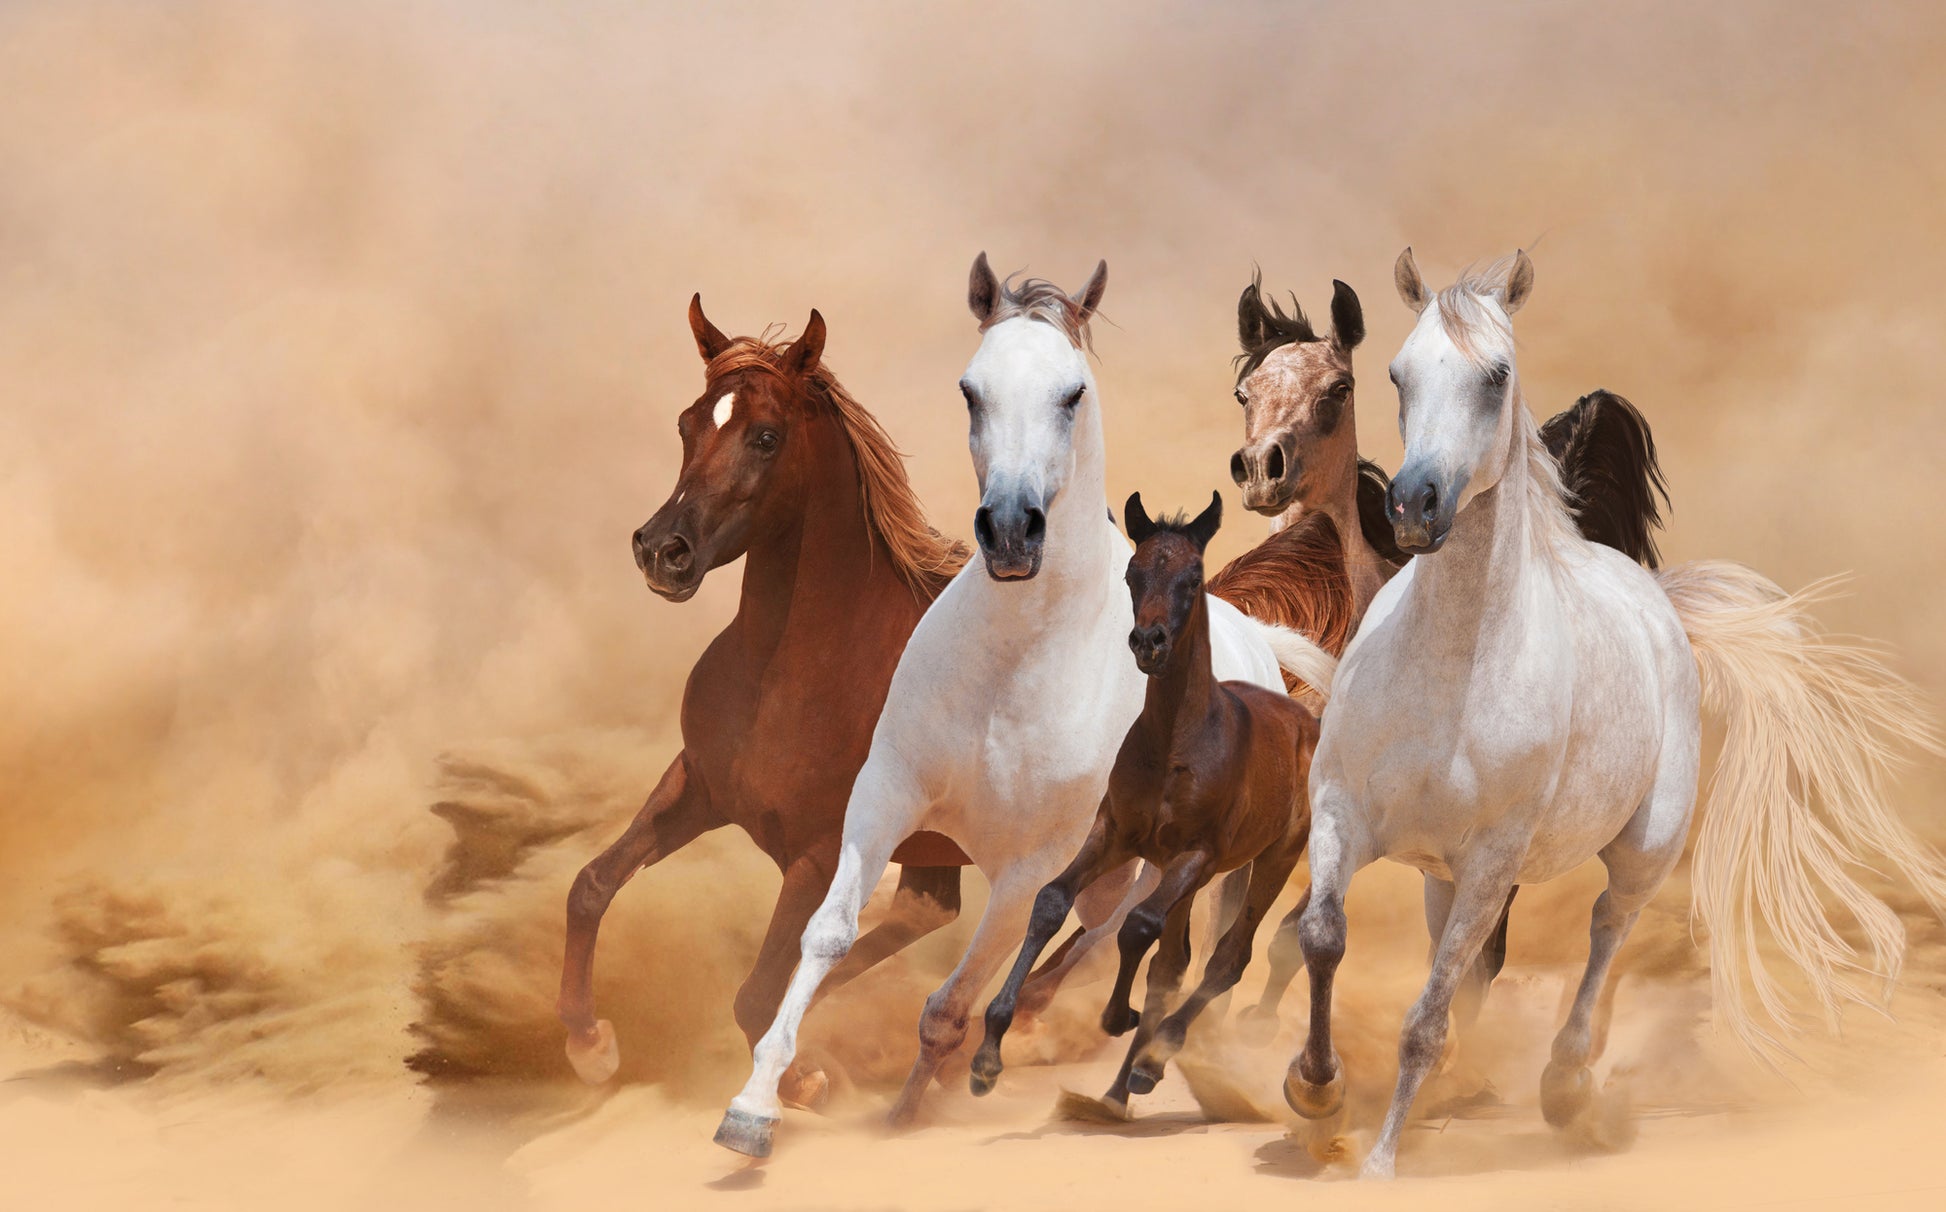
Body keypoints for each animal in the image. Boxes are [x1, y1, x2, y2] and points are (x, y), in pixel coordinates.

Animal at [556, 299, 987, 1104]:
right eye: (688, 423)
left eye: (765, 436)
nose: (662, 550)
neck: (789, 672)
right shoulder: (699, 784)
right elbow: (591, 885)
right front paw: (589, 1044)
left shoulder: (818, 855)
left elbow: (754, 994)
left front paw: (806, 1078)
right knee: (924, 912)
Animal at [969, 491, 1322, 1117]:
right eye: (1133, 574)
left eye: (1193, 576)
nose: (1148, 643)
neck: (1175, 743)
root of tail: (1306, 719)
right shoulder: (1116, 833)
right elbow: (1052, 902)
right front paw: (987, 1056)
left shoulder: (1196, 854)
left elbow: (1136, 926)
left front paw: (1117, 1016)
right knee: (1175, 960)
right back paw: (1120, 1086)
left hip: (1272, 860)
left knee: (1228, 956)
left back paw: (1155, 1058)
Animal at [1282, 249, 1946, 1179]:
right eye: (1397, 373)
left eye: (1497, 374)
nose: (1413, 505)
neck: (1446, 675)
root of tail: (1656, 598)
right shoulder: (1343, 811)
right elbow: (1324, 938)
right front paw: (1315, 1091)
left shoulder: (1492, 861)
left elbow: (1425, 1017)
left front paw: (1378, 1161)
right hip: (1441, 877)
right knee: (1481, 963)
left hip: (1640, 849)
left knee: (1604, 932)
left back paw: (1565, 1088)